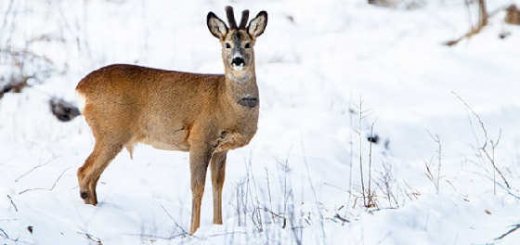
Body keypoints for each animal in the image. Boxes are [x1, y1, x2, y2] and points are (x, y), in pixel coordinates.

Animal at [76, 6, 268, 234]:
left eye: (248, 44)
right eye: (227, 44)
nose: (237, 60)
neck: (226, 102)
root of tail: (81, 88)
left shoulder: (221, 149)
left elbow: (218, 185)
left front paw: (217, 226)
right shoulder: (200, 138)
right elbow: (197, 187)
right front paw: (194, 231)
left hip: (110, 134)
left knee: (93, 176)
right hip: (110, 131)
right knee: (84, 172)